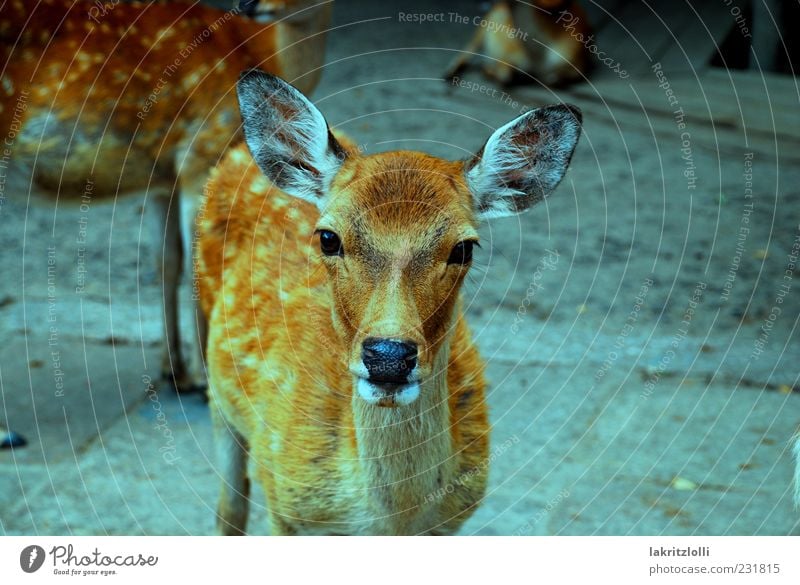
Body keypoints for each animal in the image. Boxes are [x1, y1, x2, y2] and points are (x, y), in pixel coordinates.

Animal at [0, 0, 332, 392]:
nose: (250, 4)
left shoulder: (163, 180)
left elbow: (166, 262)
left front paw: (174, 370)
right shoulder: (201, 153)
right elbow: (197, 264)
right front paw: (204, 377)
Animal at [196, 70, 580, 536]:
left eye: (464, 248)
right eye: (328, 237)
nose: (388, 357)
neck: (388, 520)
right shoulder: (285, 508)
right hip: (221, 395)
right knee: (228, 508)